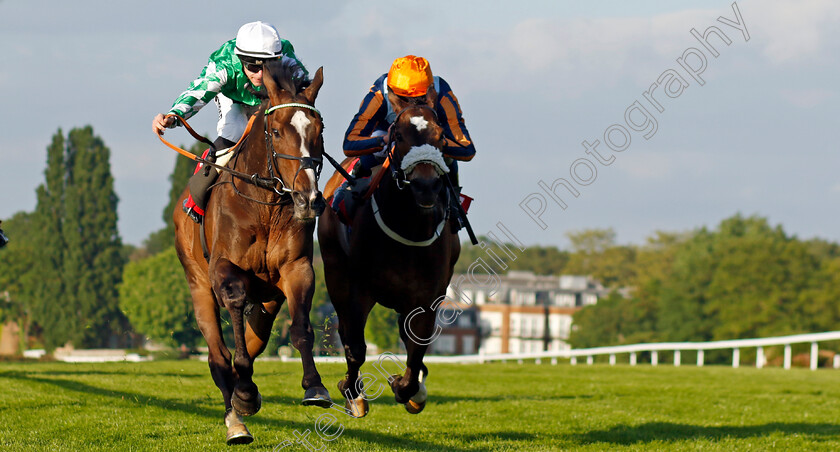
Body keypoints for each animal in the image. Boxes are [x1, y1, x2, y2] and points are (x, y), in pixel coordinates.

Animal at [174, 58, 332, 444]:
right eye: (276, 131)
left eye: (319, 130)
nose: (309, 199)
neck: (266, 205)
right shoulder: (222, 270)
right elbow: (233, 312)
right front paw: (244, 392)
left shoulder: (297, 267)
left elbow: (301, 328)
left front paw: (315, 386)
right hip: (198, 285)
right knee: (217, 356)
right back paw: (236, 419)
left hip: (270, 297)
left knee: (255, 333)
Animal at [316, 102, 460, 416]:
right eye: (400, 136)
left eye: (441, 136)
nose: (426, 186)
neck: (408, 229)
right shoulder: (357, 289)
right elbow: (356, 347)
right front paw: (352, 392)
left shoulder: (428, 296)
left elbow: (416, 349)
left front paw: (407, 387)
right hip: (335, 273)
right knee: (347, 332)